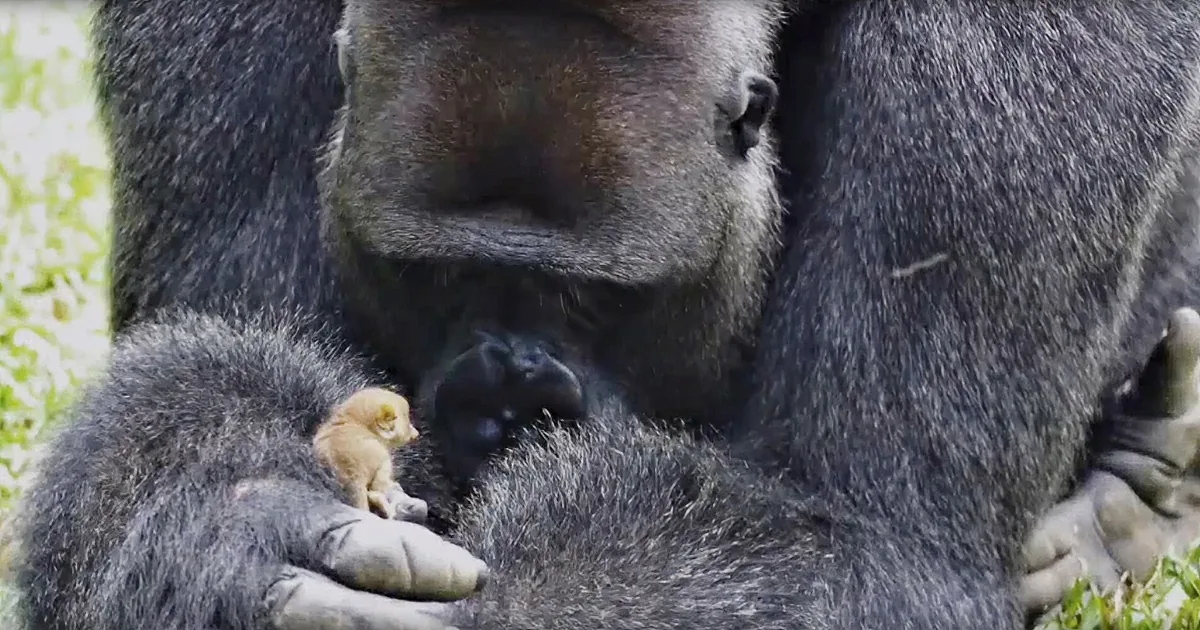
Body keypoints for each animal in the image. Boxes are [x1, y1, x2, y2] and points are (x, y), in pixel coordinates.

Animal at [313, 387, 426, 521]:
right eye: (408, 424)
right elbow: (380, 484)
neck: (352, 422)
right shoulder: (384, 462)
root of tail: (352, 476)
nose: (417, 433)